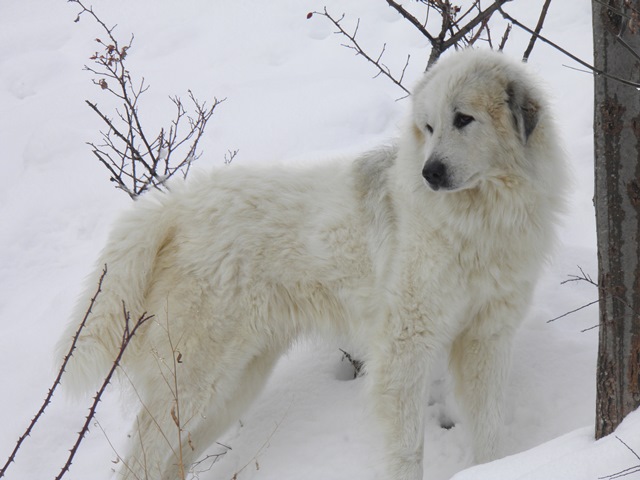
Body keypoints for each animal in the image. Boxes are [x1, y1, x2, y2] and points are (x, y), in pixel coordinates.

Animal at [56, 49, 564, 480]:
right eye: (429, 127)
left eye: (463, 120)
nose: (430, 173)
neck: (480, 220)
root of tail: (177, 205)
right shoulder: (405, 346)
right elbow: (407, 449)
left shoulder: (486, 337)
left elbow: (489, 429)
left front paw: (497, 468)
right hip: (194, 379)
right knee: (141, 460)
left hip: (233, 386)